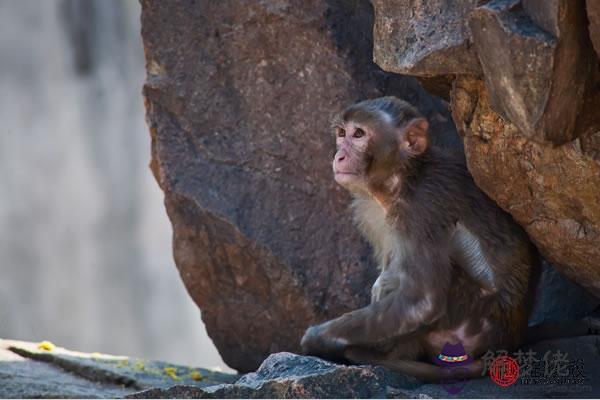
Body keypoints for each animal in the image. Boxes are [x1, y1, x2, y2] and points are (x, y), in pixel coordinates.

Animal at [302, 96, 596, 382]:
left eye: (359, 134)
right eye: (342, 133)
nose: (339, 155)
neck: (403, 179)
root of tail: (509, 340)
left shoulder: (424, 208)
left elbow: (421, 301)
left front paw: (317, 338)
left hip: (466, 325)